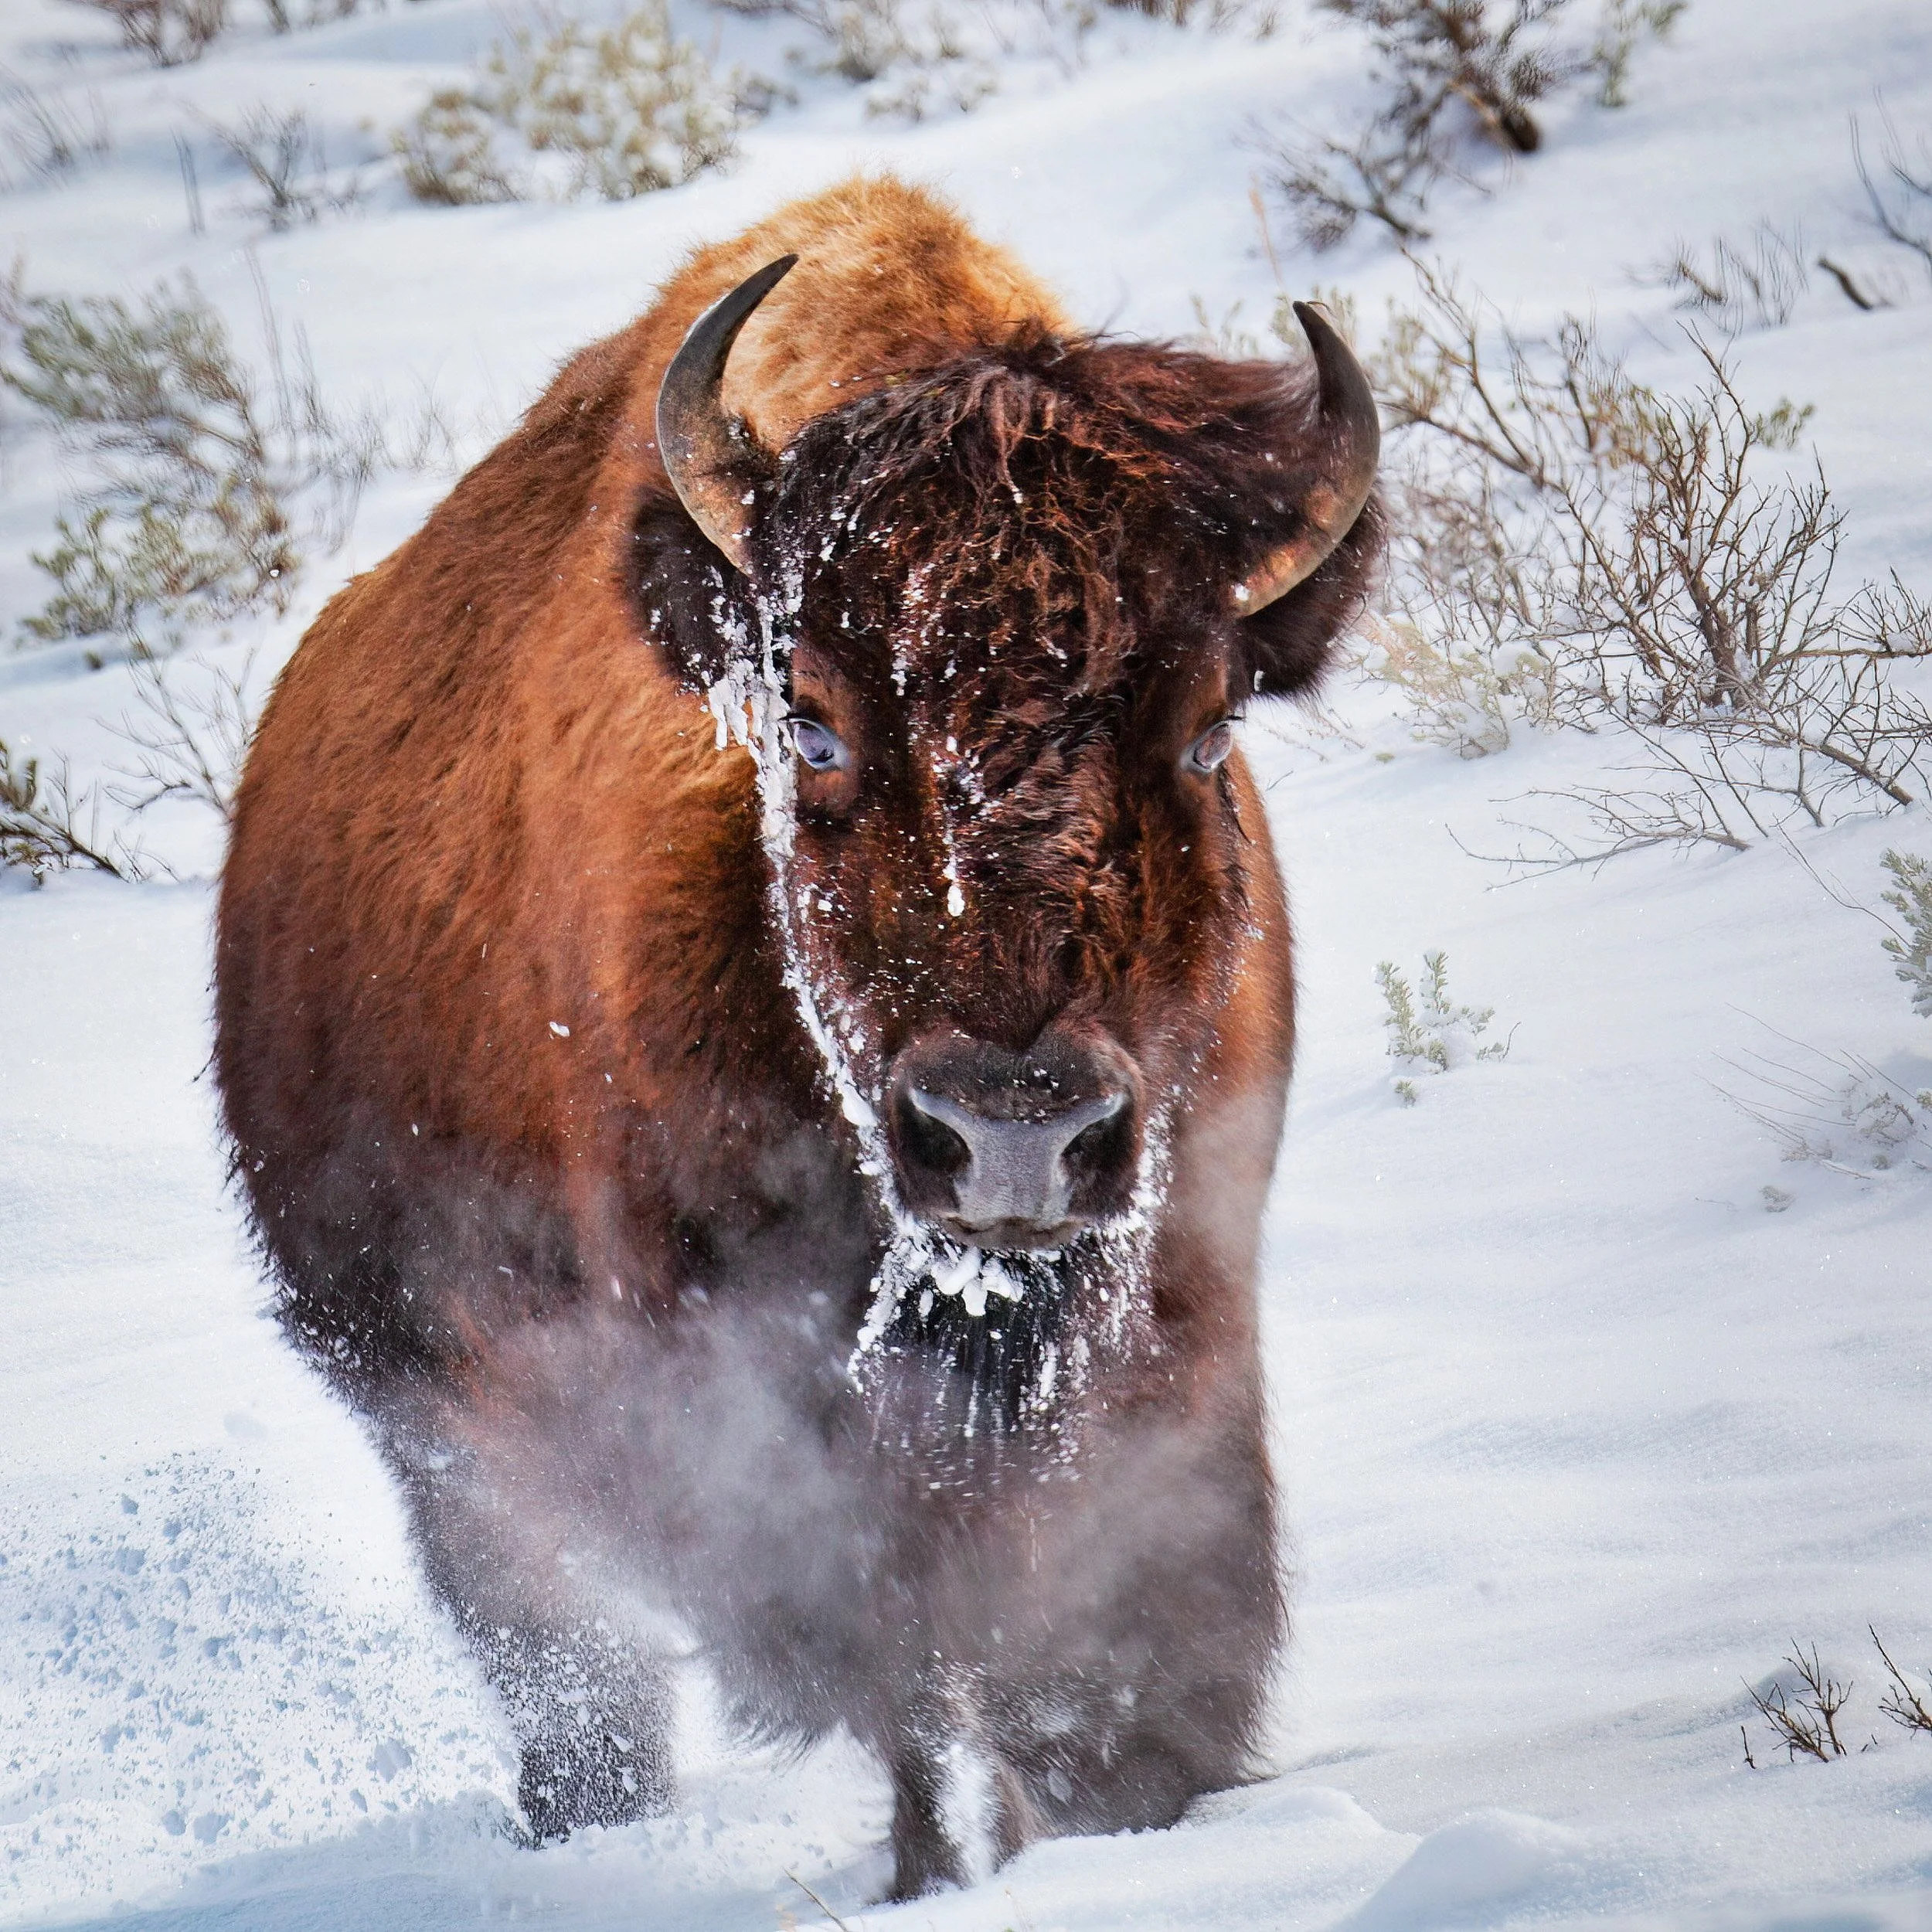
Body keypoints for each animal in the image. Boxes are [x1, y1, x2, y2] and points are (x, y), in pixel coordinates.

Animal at [214, 176, 1381, 1899]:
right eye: (813, 725)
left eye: (1209, 724)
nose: (1014, 1132)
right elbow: (900, 1681)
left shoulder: (1170, 1351)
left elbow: (1101, 1674)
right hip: (438, 1423)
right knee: (582, 1691)